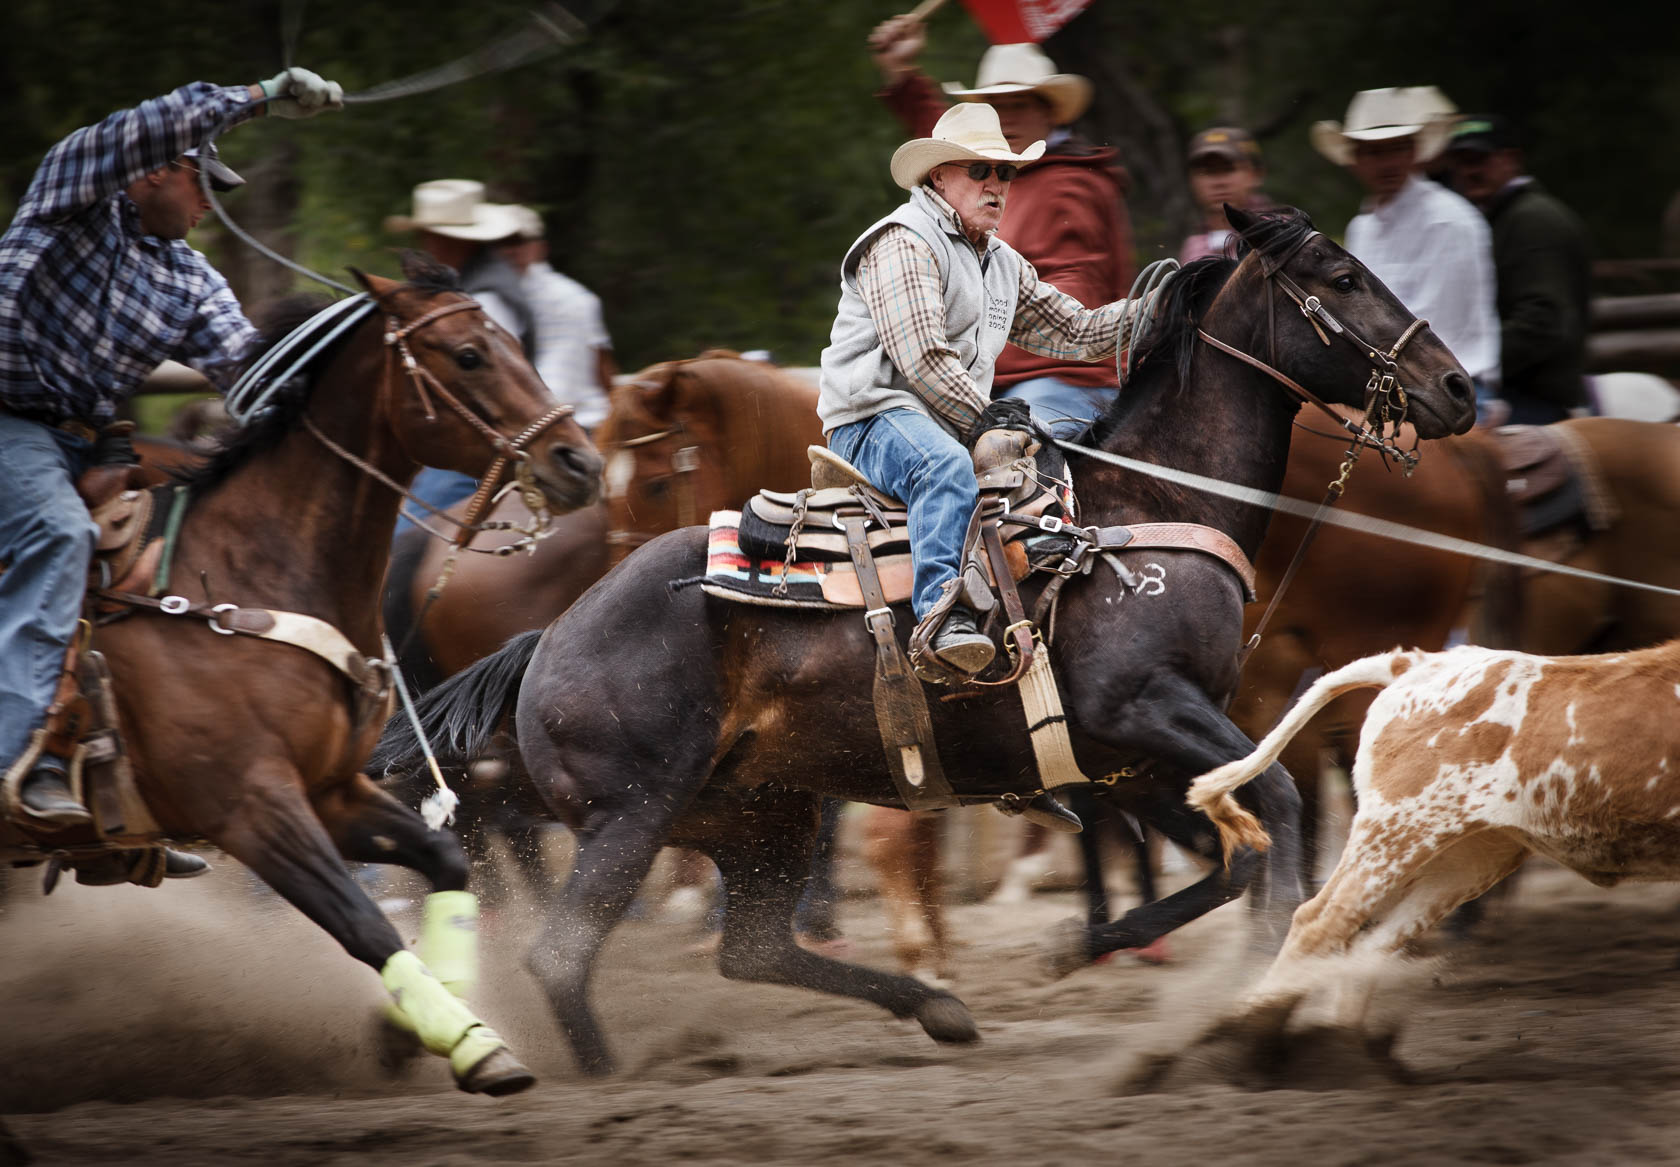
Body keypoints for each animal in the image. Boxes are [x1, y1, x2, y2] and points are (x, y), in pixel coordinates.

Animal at [14, 255, 604, 1094]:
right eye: (468, 355)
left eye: (519, 341)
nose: (580, 462)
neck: (242, 576)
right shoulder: (251, 805)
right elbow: (360, 920)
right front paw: (470, 1041)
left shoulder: (330, 789)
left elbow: (445, 861)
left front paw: (407, 1025)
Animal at [374, 205, 1478, 1074]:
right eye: (1343, 276)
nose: (1461, 388)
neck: (1145, 511)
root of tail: (552, 637)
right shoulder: (1149, 709)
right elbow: (1282, 805)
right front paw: (1264, 988)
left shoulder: (1134, 763)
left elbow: (1236, 855)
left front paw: (1087, 948)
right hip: (633, 814)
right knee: (564, 951)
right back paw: (603, 1076)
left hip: (762, 814)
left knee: (752, 948)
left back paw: (938, 1008)